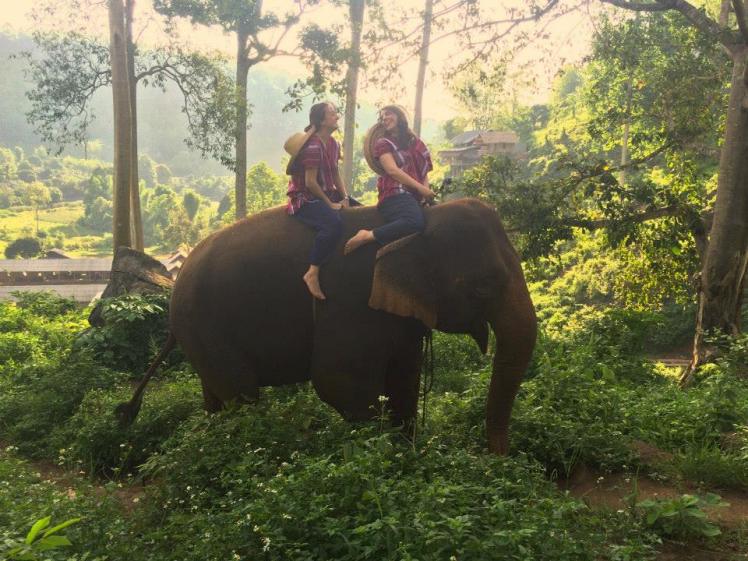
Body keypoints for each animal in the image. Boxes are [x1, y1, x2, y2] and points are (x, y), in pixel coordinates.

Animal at [118, 198, 537, 454]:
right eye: (484, 285)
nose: (495, 458)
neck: (420, 219)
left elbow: (405, 380)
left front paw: (408, 452)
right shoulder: (349, 300)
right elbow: (338, 381)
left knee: (217, 399)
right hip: (204, 326)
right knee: (241, 396)